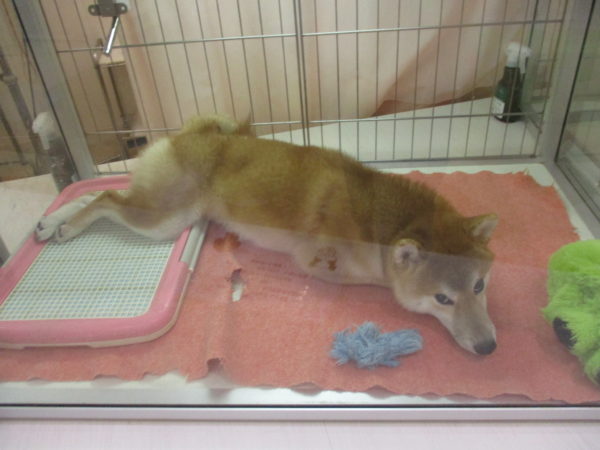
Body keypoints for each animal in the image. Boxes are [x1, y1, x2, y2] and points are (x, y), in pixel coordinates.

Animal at [36, 115, 498, 355]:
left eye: (479, 286)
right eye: (442, 299)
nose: (489, 348)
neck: (379, 219)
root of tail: (194, 132)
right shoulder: (325, 264)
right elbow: (377, 280)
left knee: (101, 194)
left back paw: (53, 218)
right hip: (161, 219)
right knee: (106, 198)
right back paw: (65, 222)